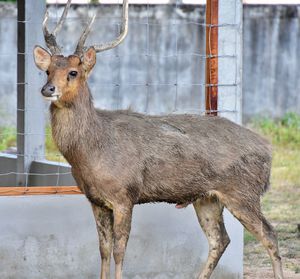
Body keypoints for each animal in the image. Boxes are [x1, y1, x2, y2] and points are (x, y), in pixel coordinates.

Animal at [32, 0, 284, 279]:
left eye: (73, 72)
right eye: (47, 70)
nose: (47, 89)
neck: (92, 150)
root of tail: (268, 149)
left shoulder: (124, 194)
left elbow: (119, 250)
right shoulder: (95, 199)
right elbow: (103, 250)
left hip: (243, 190)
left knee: (269, 234)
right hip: (207, 197)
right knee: (220, 239)